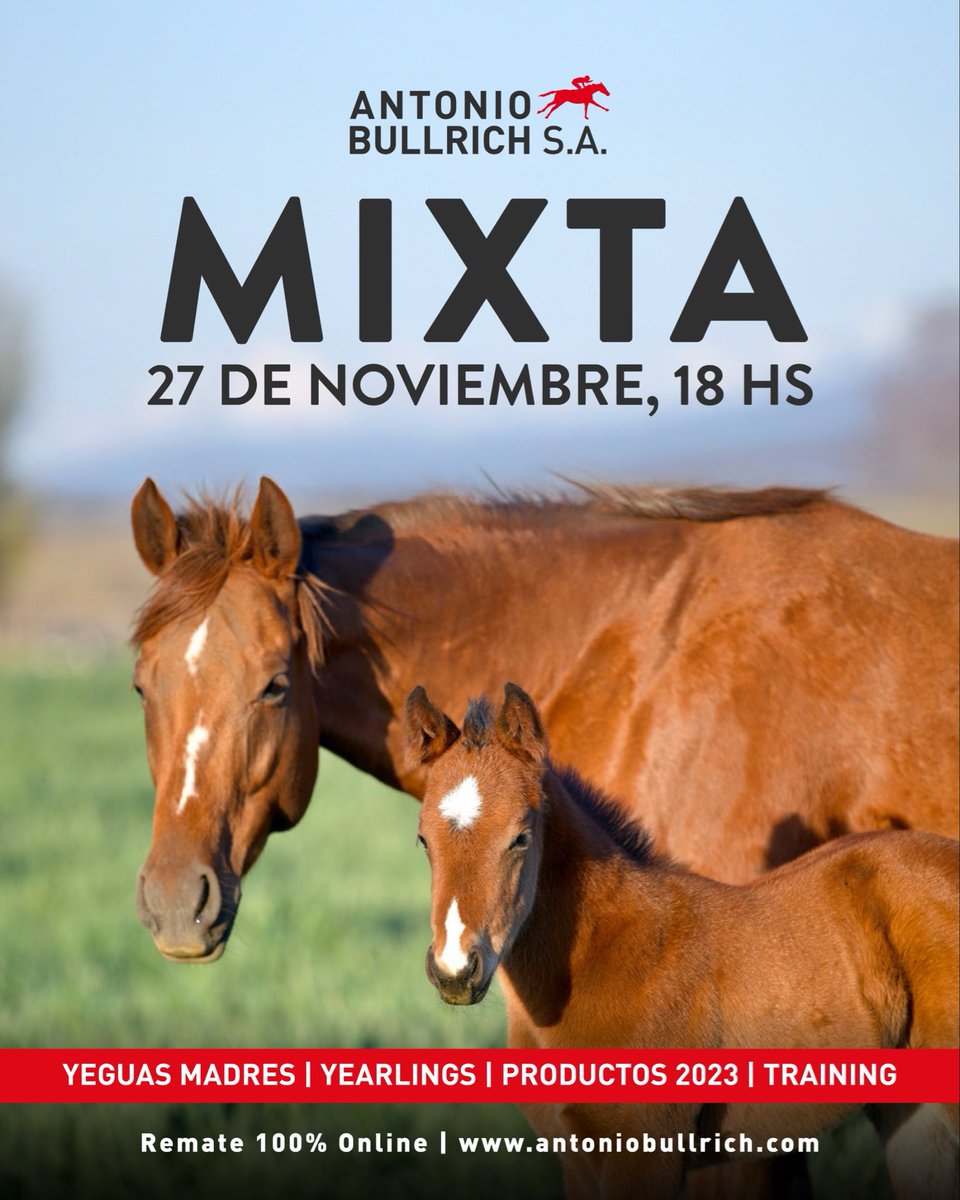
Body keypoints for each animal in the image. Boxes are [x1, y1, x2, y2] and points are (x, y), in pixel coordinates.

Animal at [406, 682, 960, 1200]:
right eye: (423, 839)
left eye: (520, 836)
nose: (455, 970)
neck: (605, 958)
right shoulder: (577, 1155)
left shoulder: (646, 1148)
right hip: (911, 1116)